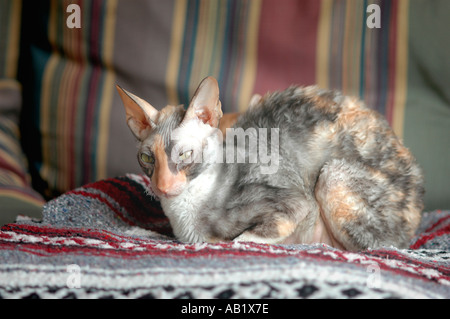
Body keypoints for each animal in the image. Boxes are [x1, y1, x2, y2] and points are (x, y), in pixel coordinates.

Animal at [117, 76, 426, 251]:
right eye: (147, 158)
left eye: (184, 155)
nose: (161, 187)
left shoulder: (297, 202)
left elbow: (242, 240)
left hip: (333, 176)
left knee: (375, 247)